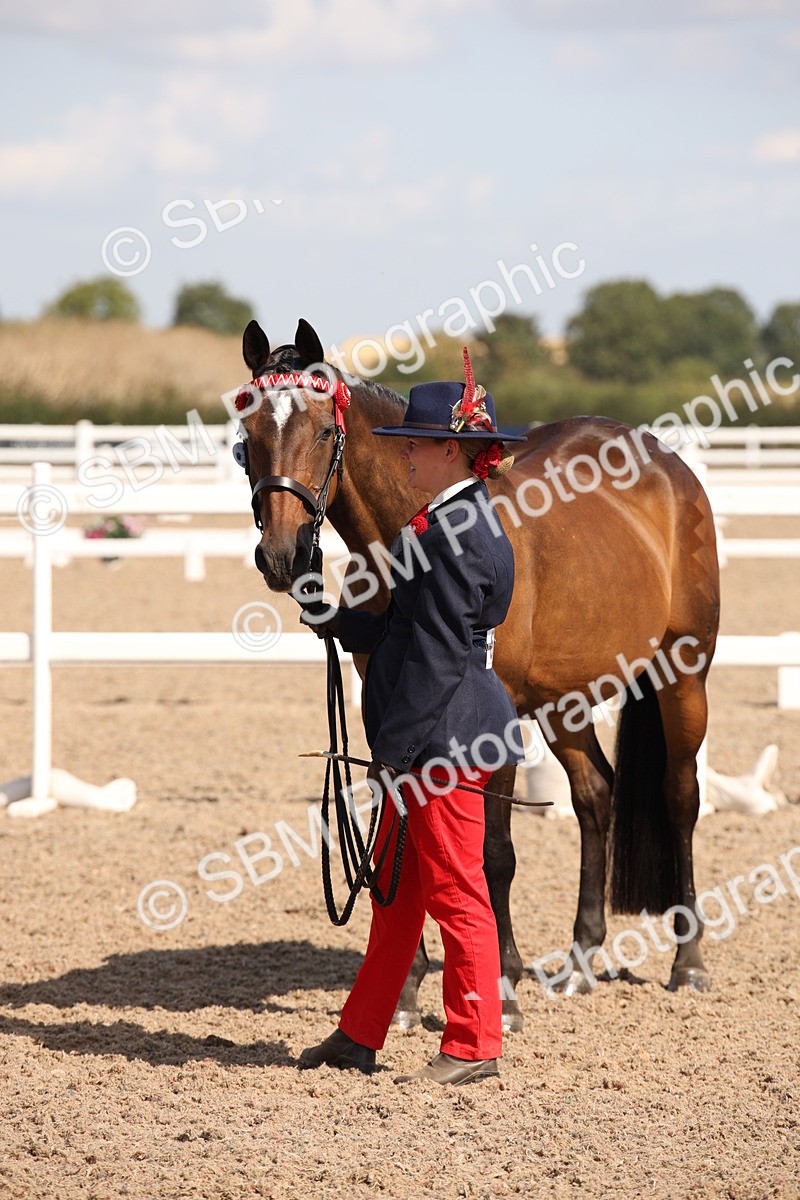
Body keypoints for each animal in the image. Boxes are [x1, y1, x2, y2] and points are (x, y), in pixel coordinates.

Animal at [235, 317, 720, 1031]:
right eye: (248, 436)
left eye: (323, 431)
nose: (283, 557)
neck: (418, 534)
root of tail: (666, 464)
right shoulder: (392, 710)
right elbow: (397, 835)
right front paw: (406, 993)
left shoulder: (494, 721)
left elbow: (495, 853)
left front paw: (502, 987)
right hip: (564, 702)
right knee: (595, 796)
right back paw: (581, 960)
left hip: (683, 676)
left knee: (680, 796)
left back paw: (688, 962)